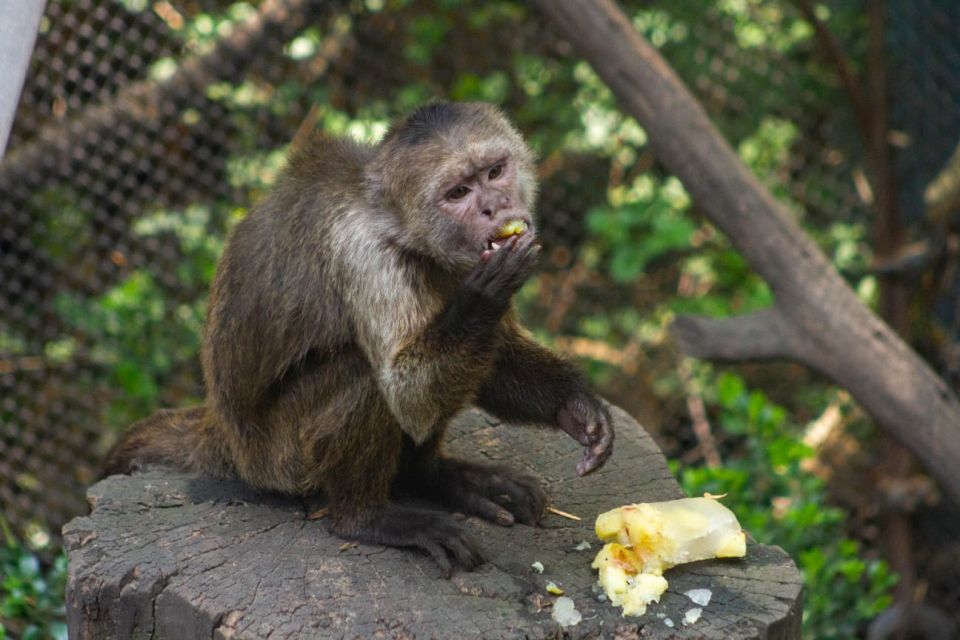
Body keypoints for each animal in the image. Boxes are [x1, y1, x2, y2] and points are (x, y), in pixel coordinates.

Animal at [105, 101, 616, 576]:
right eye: (459, 192)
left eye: (494, 171)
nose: (495, 207)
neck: (402, 228)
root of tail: (223, 432)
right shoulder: (365, 255)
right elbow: (408, 397)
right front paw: (484, 297)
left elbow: (492, 362)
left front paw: (576, 406)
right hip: (279, 460)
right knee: (365, 378)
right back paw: (364, 518)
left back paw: (432, 477)